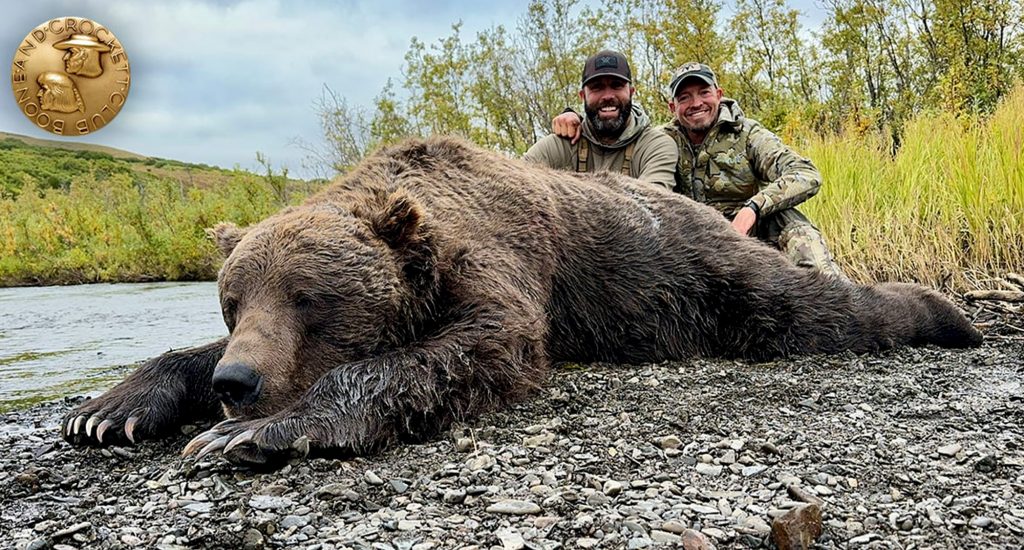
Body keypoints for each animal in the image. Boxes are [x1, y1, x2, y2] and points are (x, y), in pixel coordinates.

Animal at [62, 136, 982, 467]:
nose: (237, 384)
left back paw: (948, 315)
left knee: (808, 308)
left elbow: (480, 349)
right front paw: (109, 409)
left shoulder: (498, 262)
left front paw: (260, 433)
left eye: (310, 299)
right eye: (230, 303)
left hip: (702, 268)